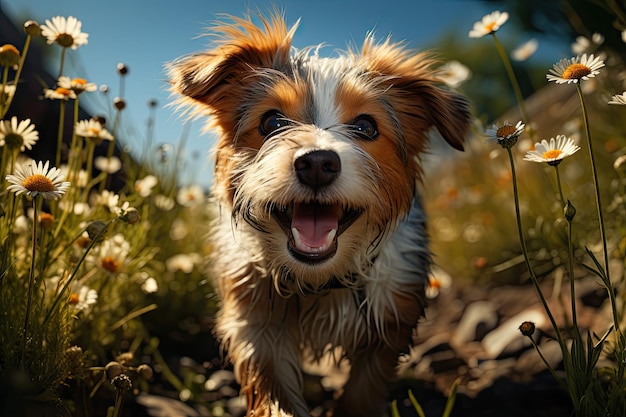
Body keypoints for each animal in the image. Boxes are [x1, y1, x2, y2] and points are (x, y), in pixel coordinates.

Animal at [168, 11, 470, 414]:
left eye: (365, 126)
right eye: (272, 123)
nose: (316, 163)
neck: (319, 279)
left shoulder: (389, 319)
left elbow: (363, 390)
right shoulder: (256, 325)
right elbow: (274, 392)